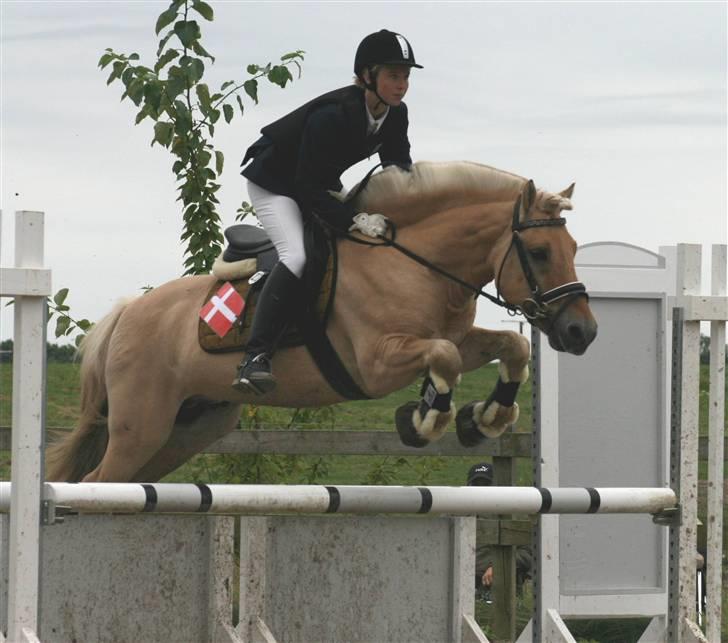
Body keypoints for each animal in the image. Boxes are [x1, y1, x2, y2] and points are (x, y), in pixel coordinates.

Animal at [48, 161, 600, 484]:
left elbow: (511, 346)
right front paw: (424, 421)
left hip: (188, 429)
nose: (583, 332)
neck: (416, 263)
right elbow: (442, 359)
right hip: (140, 426)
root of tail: (126, 313)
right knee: (95, 486)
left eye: (573, 249)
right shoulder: (377, 362)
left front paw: (484, 418)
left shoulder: (459, 338)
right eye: (538, 251)